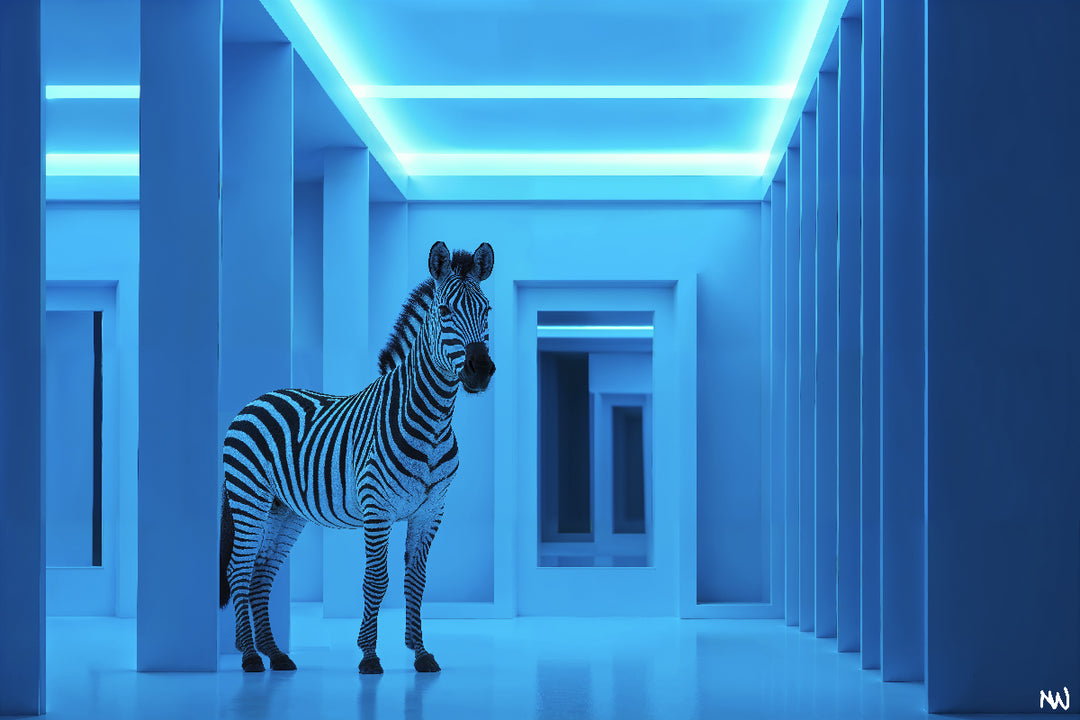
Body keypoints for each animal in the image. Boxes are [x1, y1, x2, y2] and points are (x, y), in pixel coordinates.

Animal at [218, 241, 495, 674]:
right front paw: (368, 655)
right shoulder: (376, 507)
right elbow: (377, 580)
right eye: (446, 311)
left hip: (286, 510)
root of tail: (257, 399)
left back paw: (275, 654)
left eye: (486, 310)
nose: (480, 371)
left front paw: (421, 653)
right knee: (239, 570)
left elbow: (416, 581)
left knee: (261, 573)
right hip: (249, 498)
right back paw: (248, 656)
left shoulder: (431, 511)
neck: (433, 423)